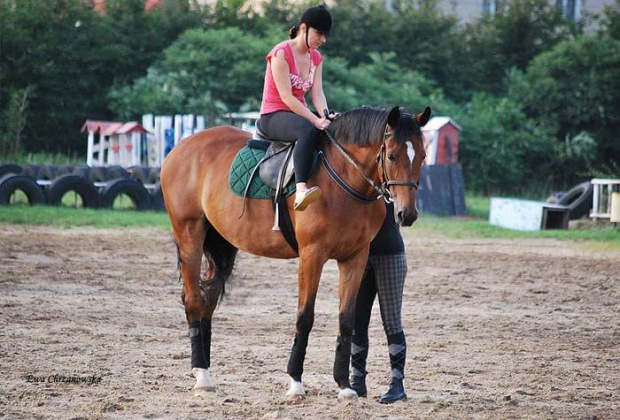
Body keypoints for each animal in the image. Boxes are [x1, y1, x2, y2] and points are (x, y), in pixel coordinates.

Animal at [161, 105, 432, 400]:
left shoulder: (355, 258)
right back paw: (201, 375)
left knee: (207, 300)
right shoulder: (312, 255)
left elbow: (346, 319)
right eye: (392, 155)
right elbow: (305, 317)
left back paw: (206, 372)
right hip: (190, 234)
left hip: (221, 242)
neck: (344, 177)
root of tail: (181, 147)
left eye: (422, 156)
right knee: (193, 301)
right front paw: (295, 382)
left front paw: (345, 386)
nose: (407, 214)